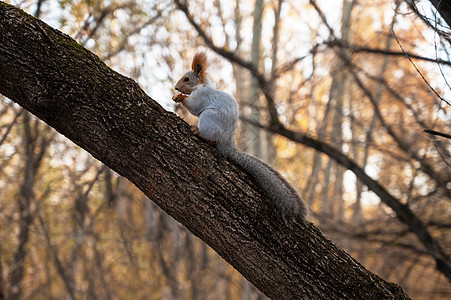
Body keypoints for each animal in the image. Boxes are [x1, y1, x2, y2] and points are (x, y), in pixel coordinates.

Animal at [171, 52, 308, 220]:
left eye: (186, 79)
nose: (176, 87)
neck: (201, 86)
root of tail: (228, 145)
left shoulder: (203, 96)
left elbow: (194, 106)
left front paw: (180, 97)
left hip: (209, 118)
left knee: (211, 139)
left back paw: (199, 133)